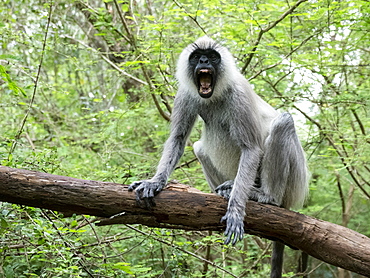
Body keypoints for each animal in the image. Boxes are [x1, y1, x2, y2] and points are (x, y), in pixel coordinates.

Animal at [129, 36, 308, 278]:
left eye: (212, 56)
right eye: (197, 56)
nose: (204, 61)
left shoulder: (239, 93)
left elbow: (251, 148)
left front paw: (235, 211)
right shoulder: (185, 93)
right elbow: (178, 138)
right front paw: (155, 182)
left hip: (295, 182)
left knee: (283, 122)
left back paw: (264, 196)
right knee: (199, 147)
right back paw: (226, 189)